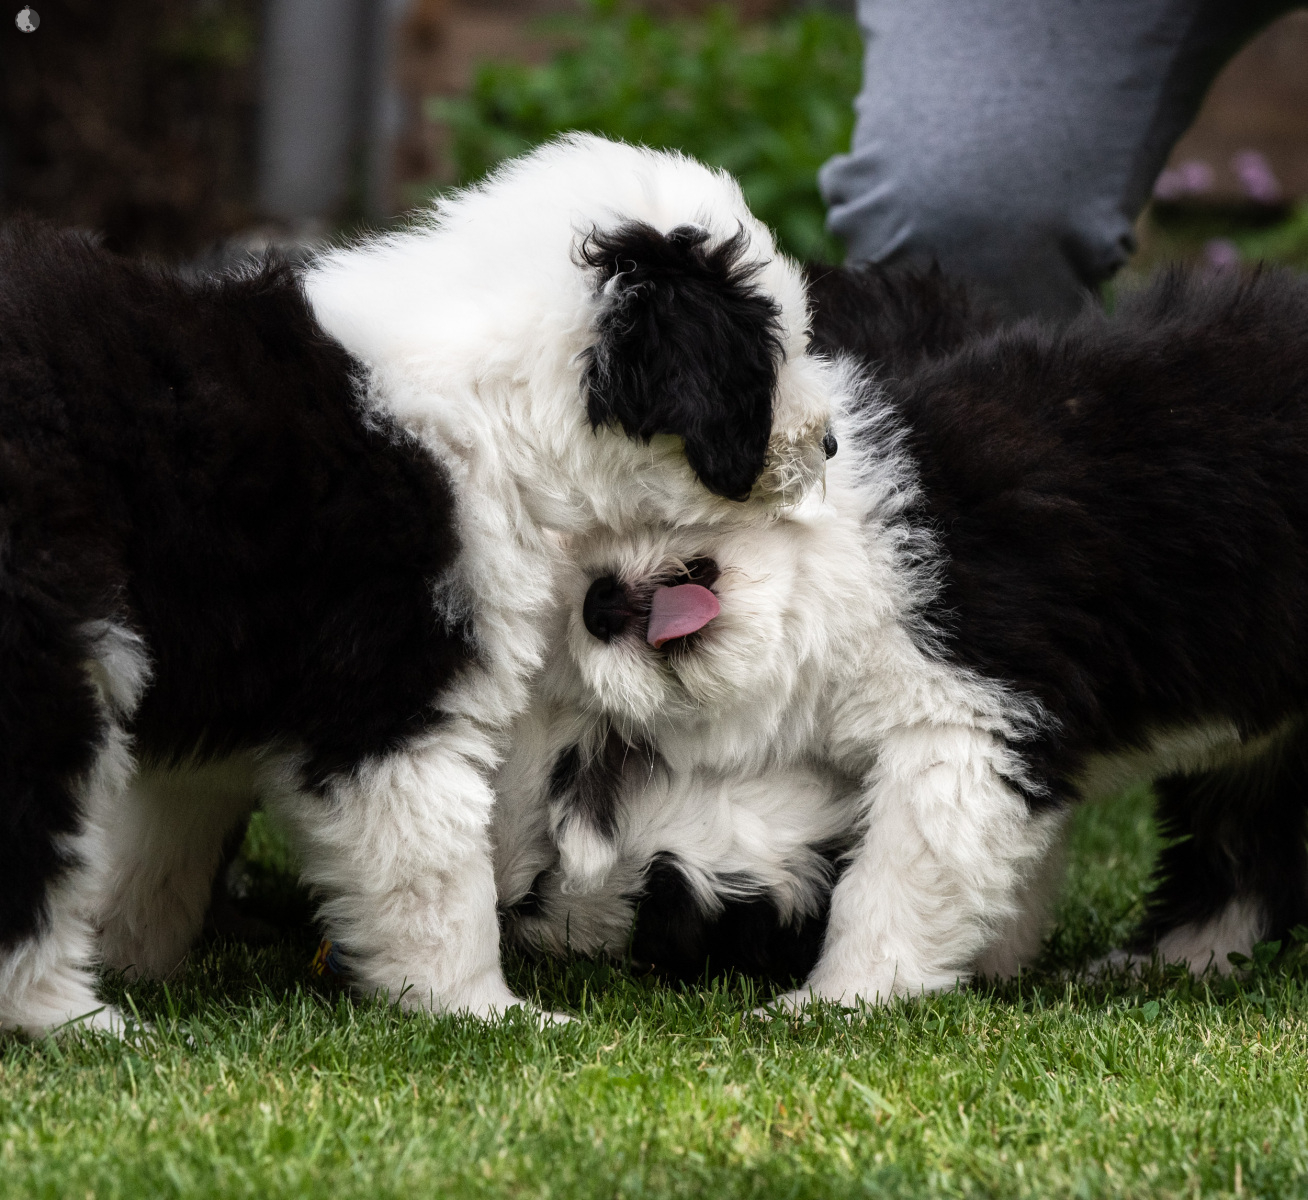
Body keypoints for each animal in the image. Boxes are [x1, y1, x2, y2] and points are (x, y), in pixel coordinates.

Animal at [0, 134, 843, 1035]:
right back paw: (69, 1018)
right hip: (48, 639)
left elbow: (154, 847)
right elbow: (435, 875)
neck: (504, 401)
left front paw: (129, 952)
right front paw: (484, 1010)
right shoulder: (398, 681)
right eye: (769, 360)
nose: (828, 443)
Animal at [494, 262, 1308, 1007]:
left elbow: (900, 871)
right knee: (1245, 841)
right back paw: (1181, 958)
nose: (597, 605)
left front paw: (841, 997)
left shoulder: (965, 720)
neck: (837, 570)